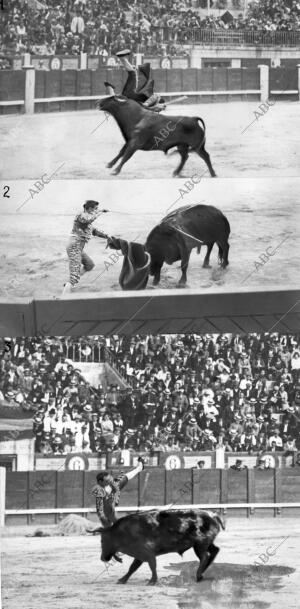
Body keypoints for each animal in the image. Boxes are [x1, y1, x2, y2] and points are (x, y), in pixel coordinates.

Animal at [92, 508, 224, 584]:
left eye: (102, 540)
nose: (102, 558)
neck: (125, 531)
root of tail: (212, 515)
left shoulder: (147, 553)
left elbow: (151, 566)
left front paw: (152, 581)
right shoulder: (140, 555)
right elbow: (132, 568)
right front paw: (122, 580)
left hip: (200, 545)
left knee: (204, 556)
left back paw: (198, 575)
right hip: (206, 544)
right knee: (214, 551)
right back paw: (201, 573)